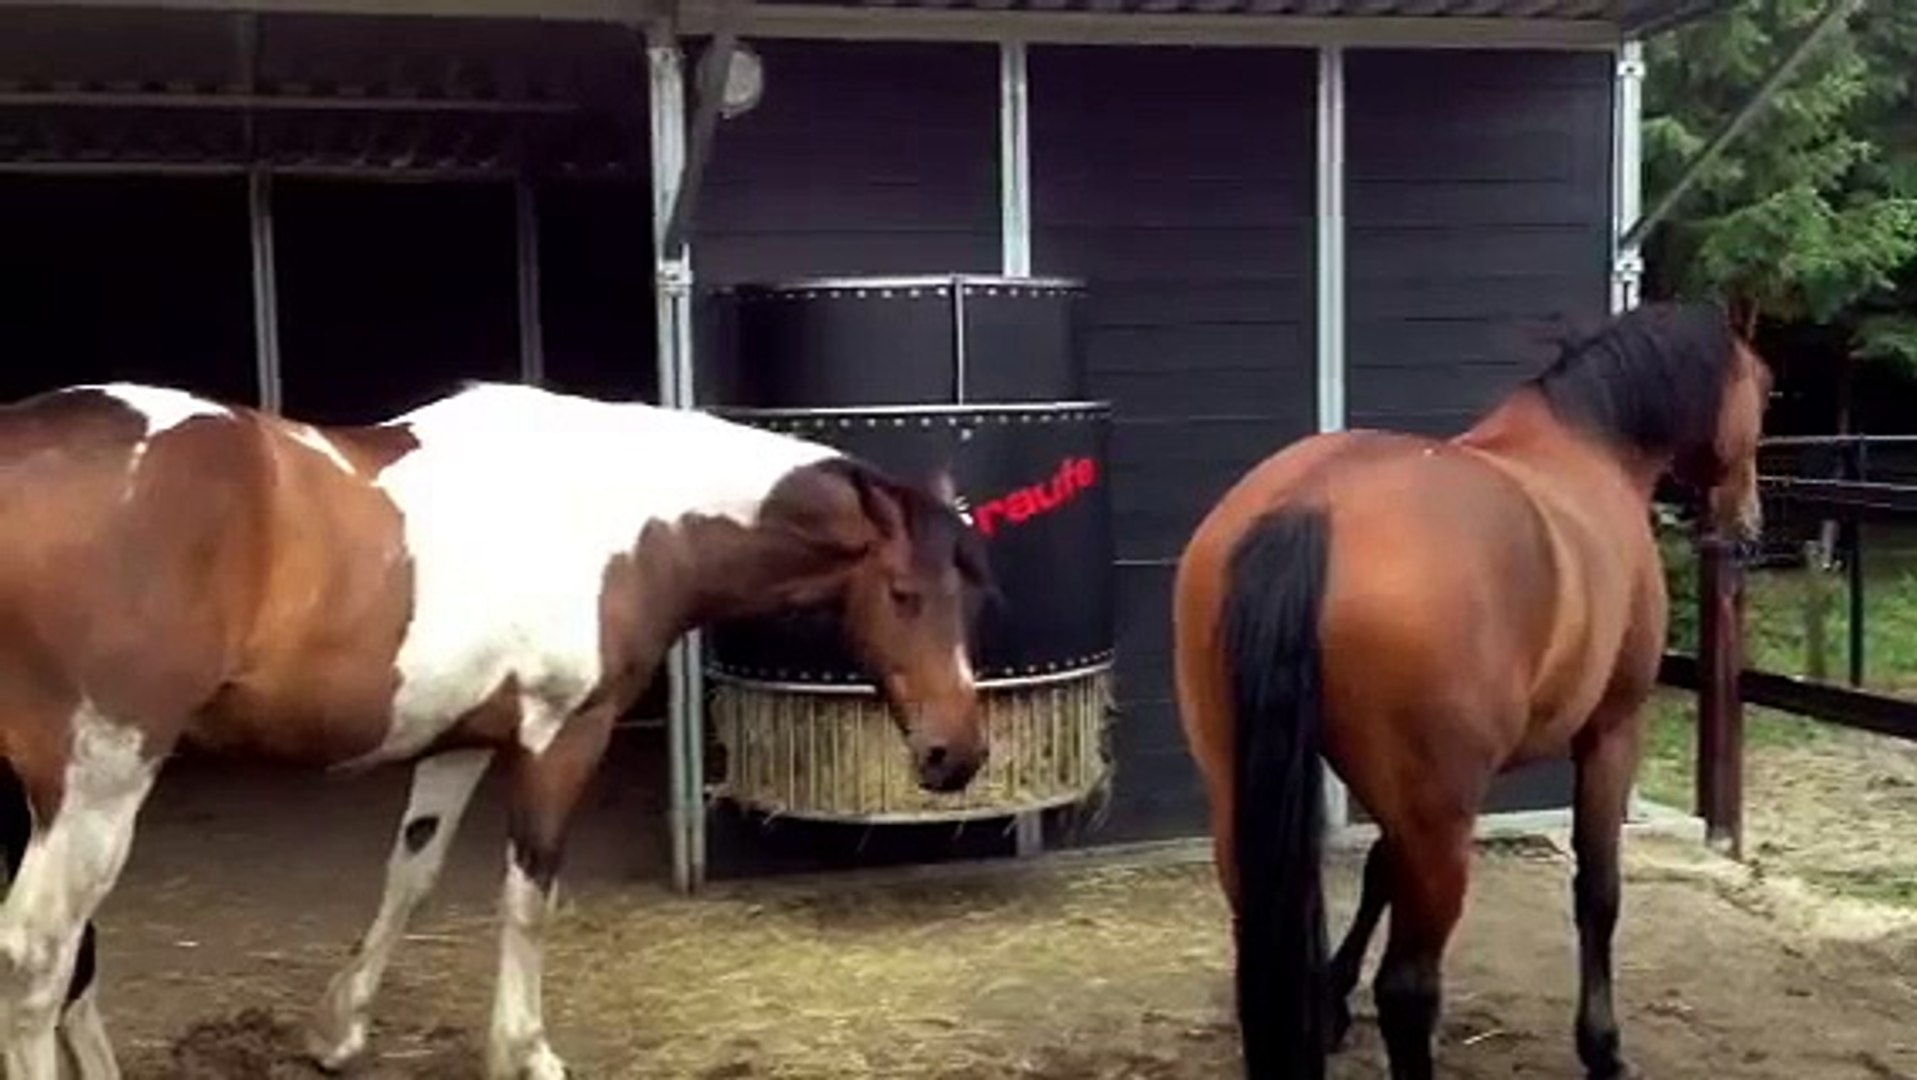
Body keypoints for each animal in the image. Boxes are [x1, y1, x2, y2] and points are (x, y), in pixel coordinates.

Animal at [0, 379, 994, 1080]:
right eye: (902, 594)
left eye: (970, 593)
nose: (956, 754)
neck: (622, 517)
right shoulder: (563, 735)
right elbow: (529, 896)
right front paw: (525, 1050)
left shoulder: (461, 744)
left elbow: (412, 874)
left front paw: (339, 1031)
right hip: (100, 785)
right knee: (38, 956)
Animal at [1172, 301, 1771, 1080]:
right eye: (1764, 386)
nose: (1749, 528)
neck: (1590, 448)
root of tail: (1310, 508)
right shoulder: (1609, 733)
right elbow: (1598, 891)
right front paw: (1602, 1047)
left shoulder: (1405, 804)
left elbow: (1376, 869)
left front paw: (1332, 1001)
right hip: (1444, 818)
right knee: (1407, 988)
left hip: (1254, 792)